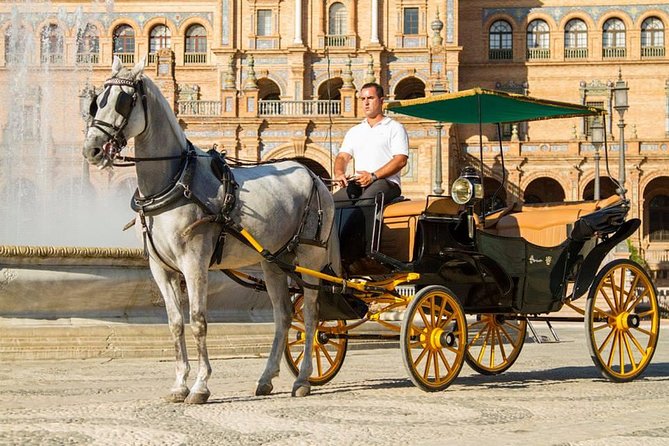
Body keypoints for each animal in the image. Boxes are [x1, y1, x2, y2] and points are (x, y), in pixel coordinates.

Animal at [82, 57, 340, 403]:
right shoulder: (159, 267)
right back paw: (267, 378)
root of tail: (315, 177)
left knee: (311, 315)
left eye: (124, 101)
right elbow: (175, 323)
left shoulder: (195, 262)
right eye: (97, 101)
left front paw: (201, 386)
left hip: (310, 259)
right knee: (284, 315)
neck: (174, 179)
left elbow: (198, 321)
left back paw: (302, 379)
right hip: (274, 260)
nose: (92, 150)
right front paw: (179, 384)